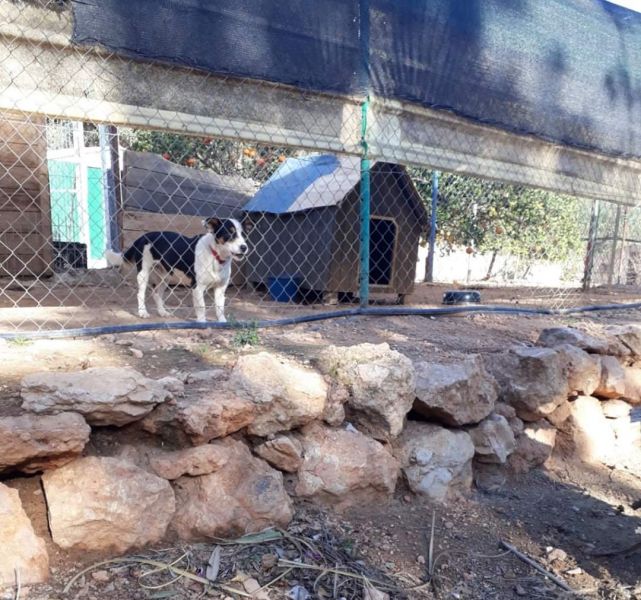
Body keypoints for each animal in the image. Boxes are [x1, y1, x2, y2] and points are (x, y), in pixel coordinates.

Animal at [105, 217, 250, 322]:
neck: (216, 256)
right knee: (140, 294)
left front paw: (222, 323)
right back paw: (142, 312)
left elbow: (220, 309)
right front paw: (202, 323)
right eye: (229, 233)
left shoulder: (220, 288)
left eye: (244, 235)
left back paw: (162, 312)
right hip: (143, 274)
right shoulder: (197, 288)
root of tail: (142, 237)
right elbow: (201, 308)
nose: (244, 247)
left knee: (156, 294)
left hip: (165, 277)